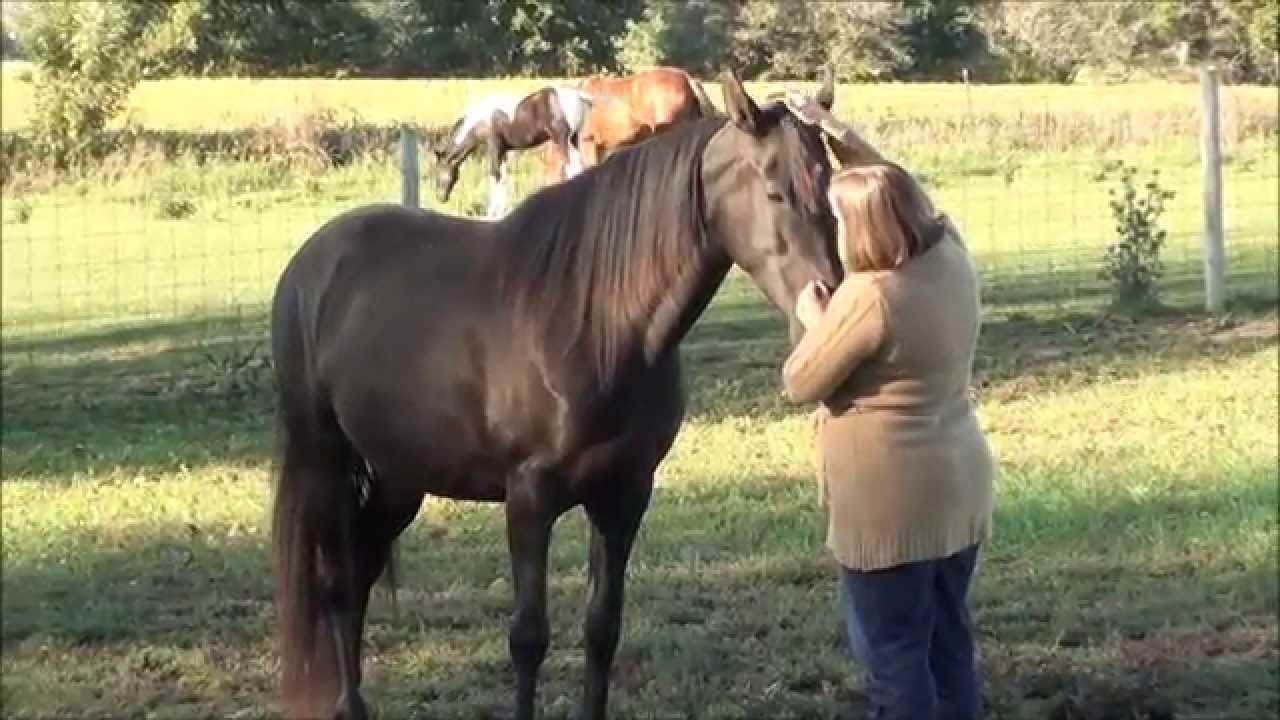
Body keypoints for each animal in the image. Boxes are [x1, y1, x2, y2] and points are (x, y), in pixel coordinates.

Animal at [430, 85, 592, 219]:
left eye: (438, 172)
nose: (440, 198)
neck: (480, 119)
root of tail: (579, 95)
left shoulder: (493, 145)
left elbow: (494, 175)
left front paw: (492, 214)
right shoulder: (503, 150)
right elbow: (503, 177)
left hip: (562, 140)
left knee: (572, 167)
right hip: (574, 139)